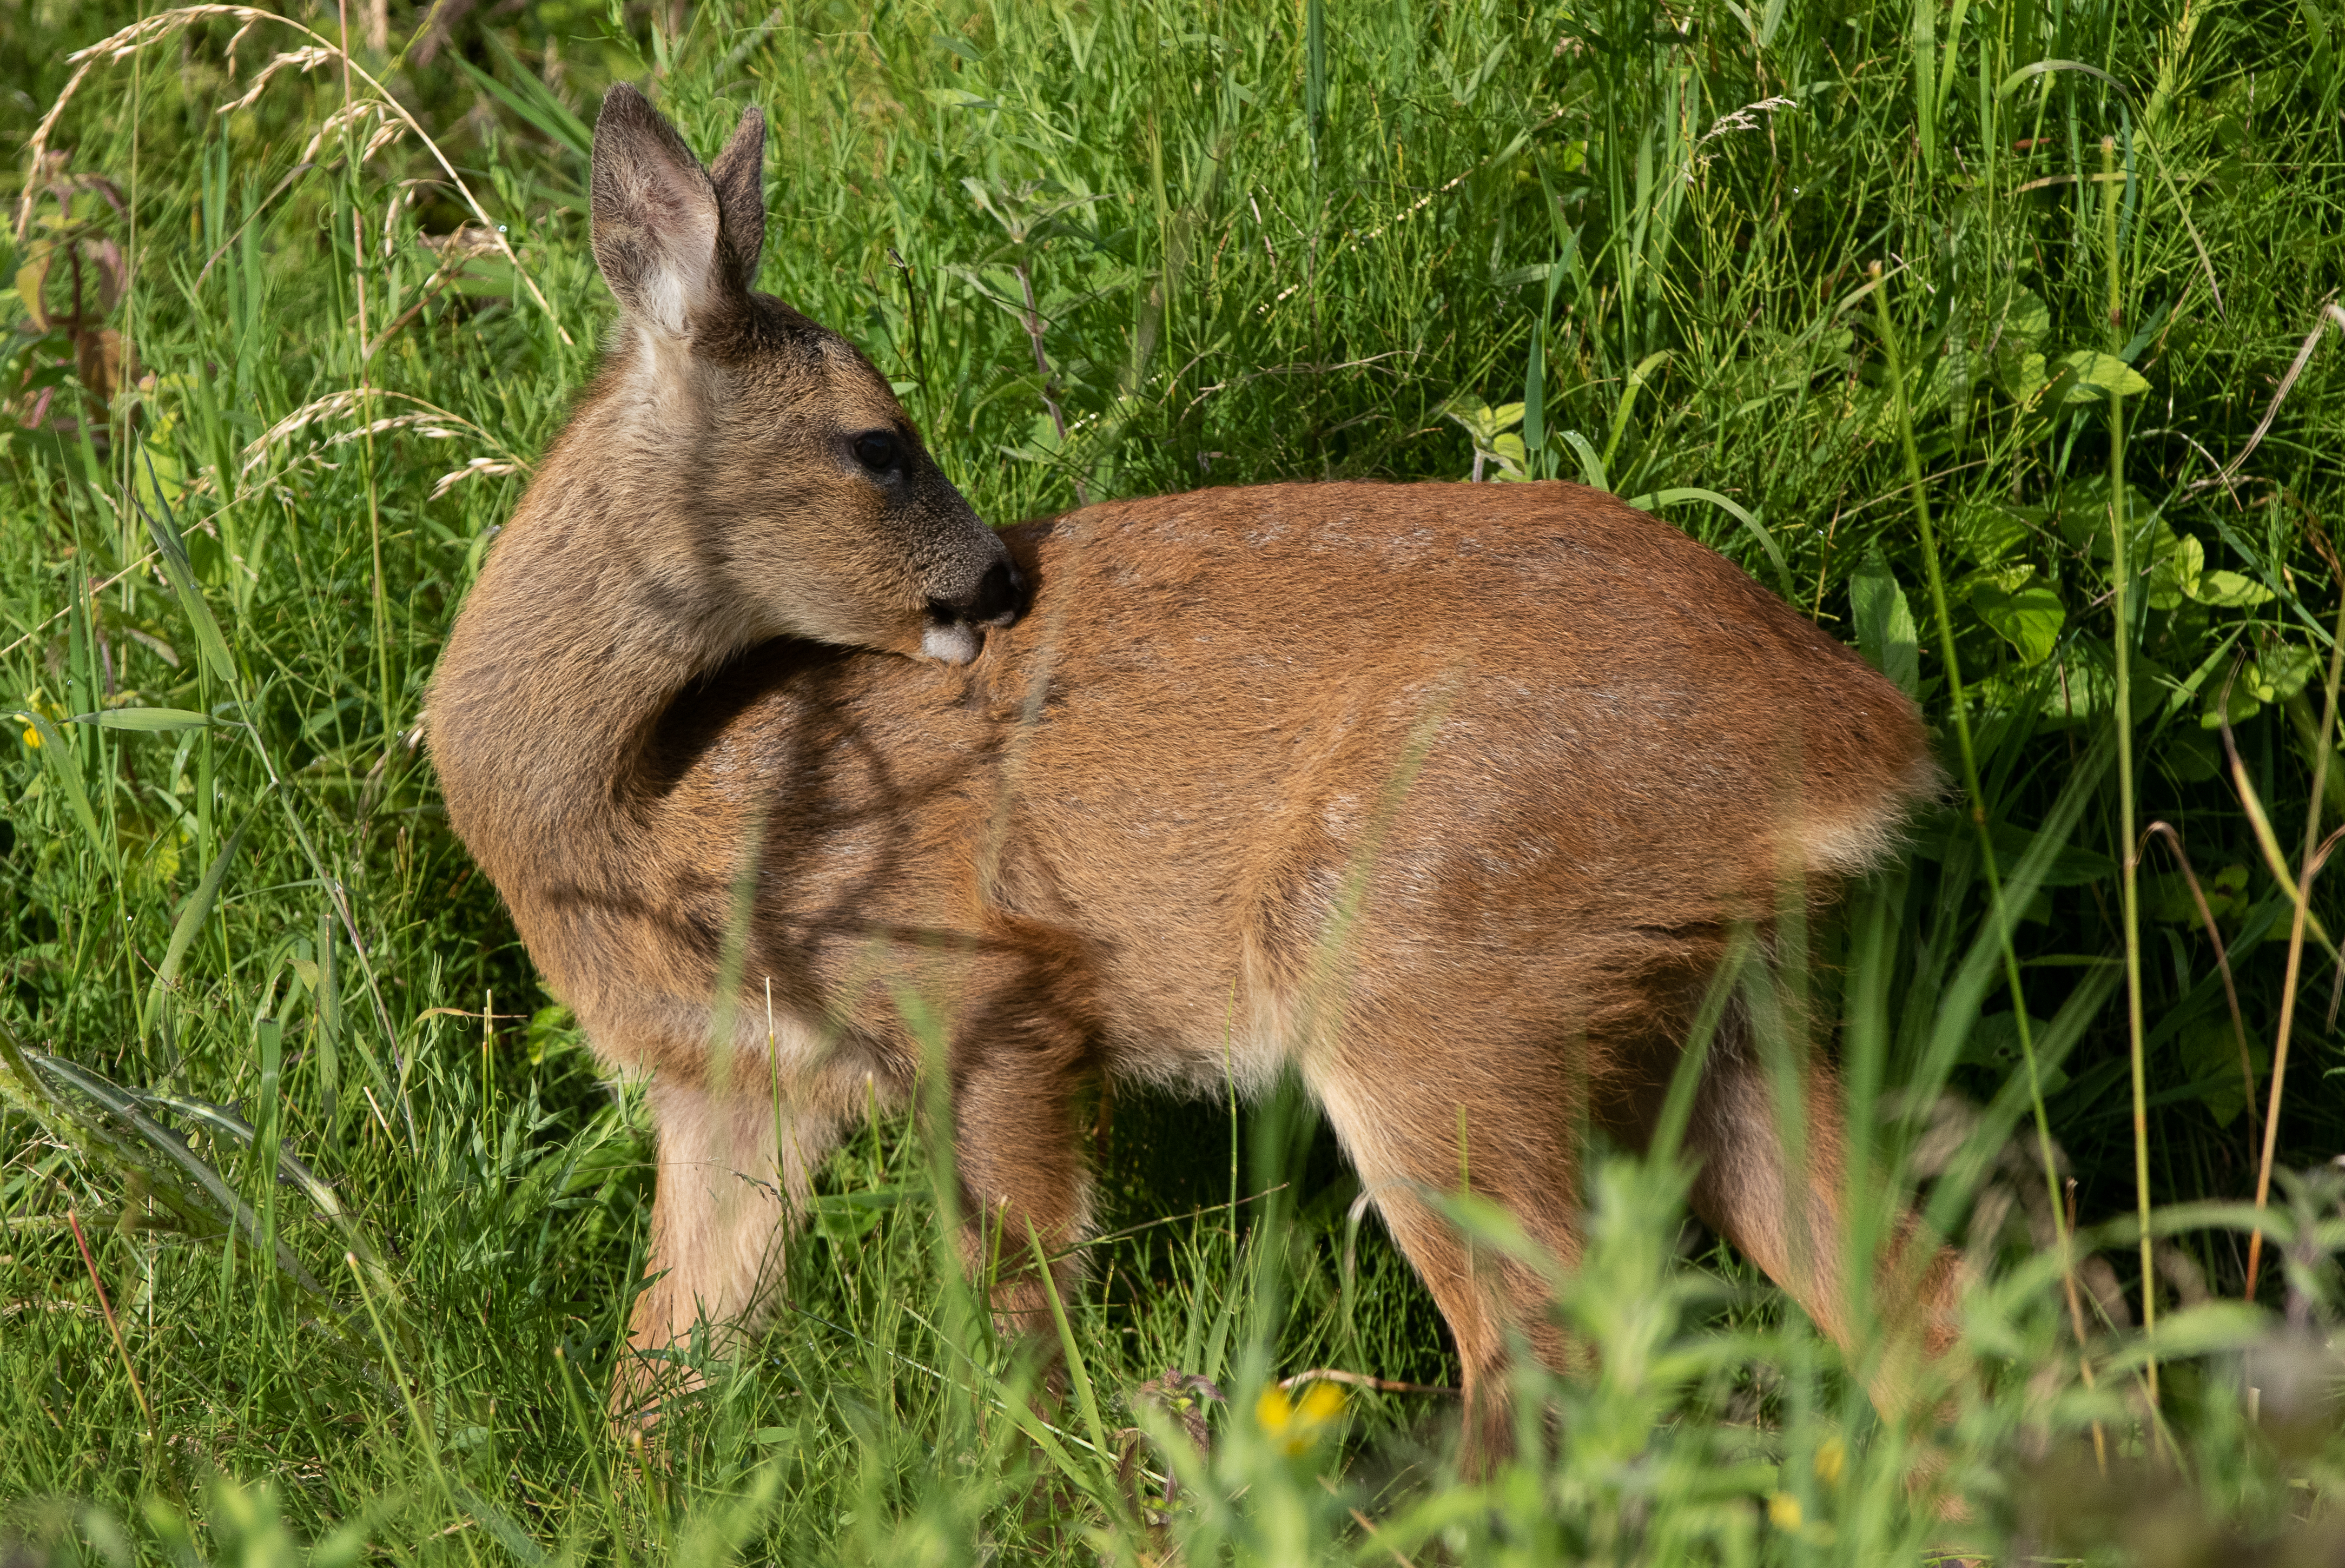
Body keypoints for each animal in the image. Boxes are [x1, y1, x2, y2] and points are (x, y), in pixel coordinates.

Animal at [428, 84, 1961, 1469]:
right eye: (876, 444)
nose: (1001, 585)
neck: (653, 811)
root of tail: (1860, 730)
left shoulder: (983, 984)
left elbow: (1018, 1322)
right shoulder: (732, 1090)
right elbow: (658, 1383)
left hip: (1424, 955)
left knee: (1551, 1347)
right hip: (1701, 991)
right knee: (1916, 1297)